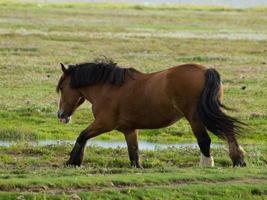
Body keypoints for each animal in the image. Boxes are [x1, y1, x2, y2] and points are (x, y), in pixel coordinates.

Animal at [56, 59, 247, 167]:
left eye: (62, 87)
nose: (61, 115)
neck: (108, 87)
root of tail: (206, 70)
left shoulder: (104, 124)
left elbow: (82, 136)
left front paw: (72, 161)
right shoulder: (129, 130)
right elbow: (134, 153)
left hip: (195, 118)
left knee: (205, 140)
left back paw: (208, 163)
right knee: (228, 129)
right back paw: (238, 160)